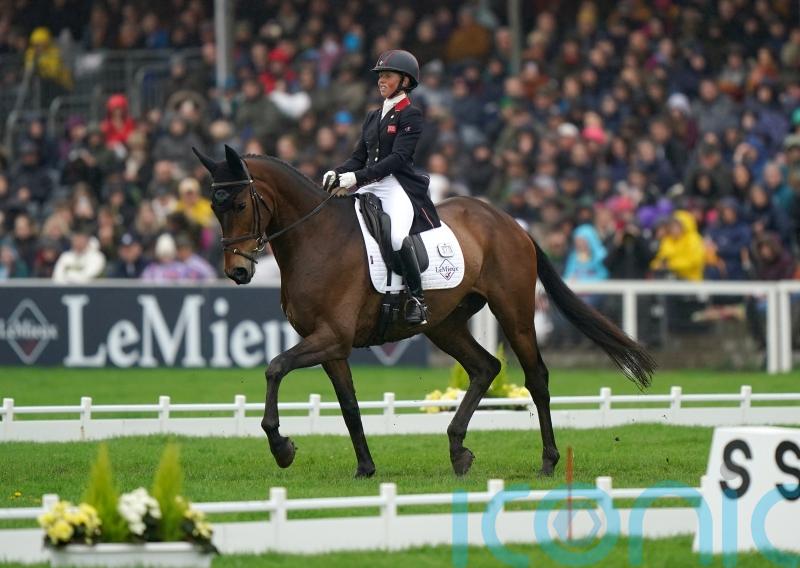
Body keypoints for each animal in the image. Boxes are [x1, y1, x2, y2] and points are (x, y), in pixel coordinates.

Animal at [193, 145, 656, 478]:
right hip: (444, 324)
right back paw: (458, 450)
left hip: (514, 313)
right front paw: (365, 468)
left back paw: (547, 461)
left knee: (536, 378)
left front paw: (282, 448)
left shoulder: (331, 338)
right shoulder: (331, 346)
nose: (237, 271)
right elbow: (349, 405)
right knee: (485, 367)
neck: (316, 238)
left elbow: (274, 367)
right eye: (214, 207)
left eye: (239, 205)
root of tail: (509, 221)